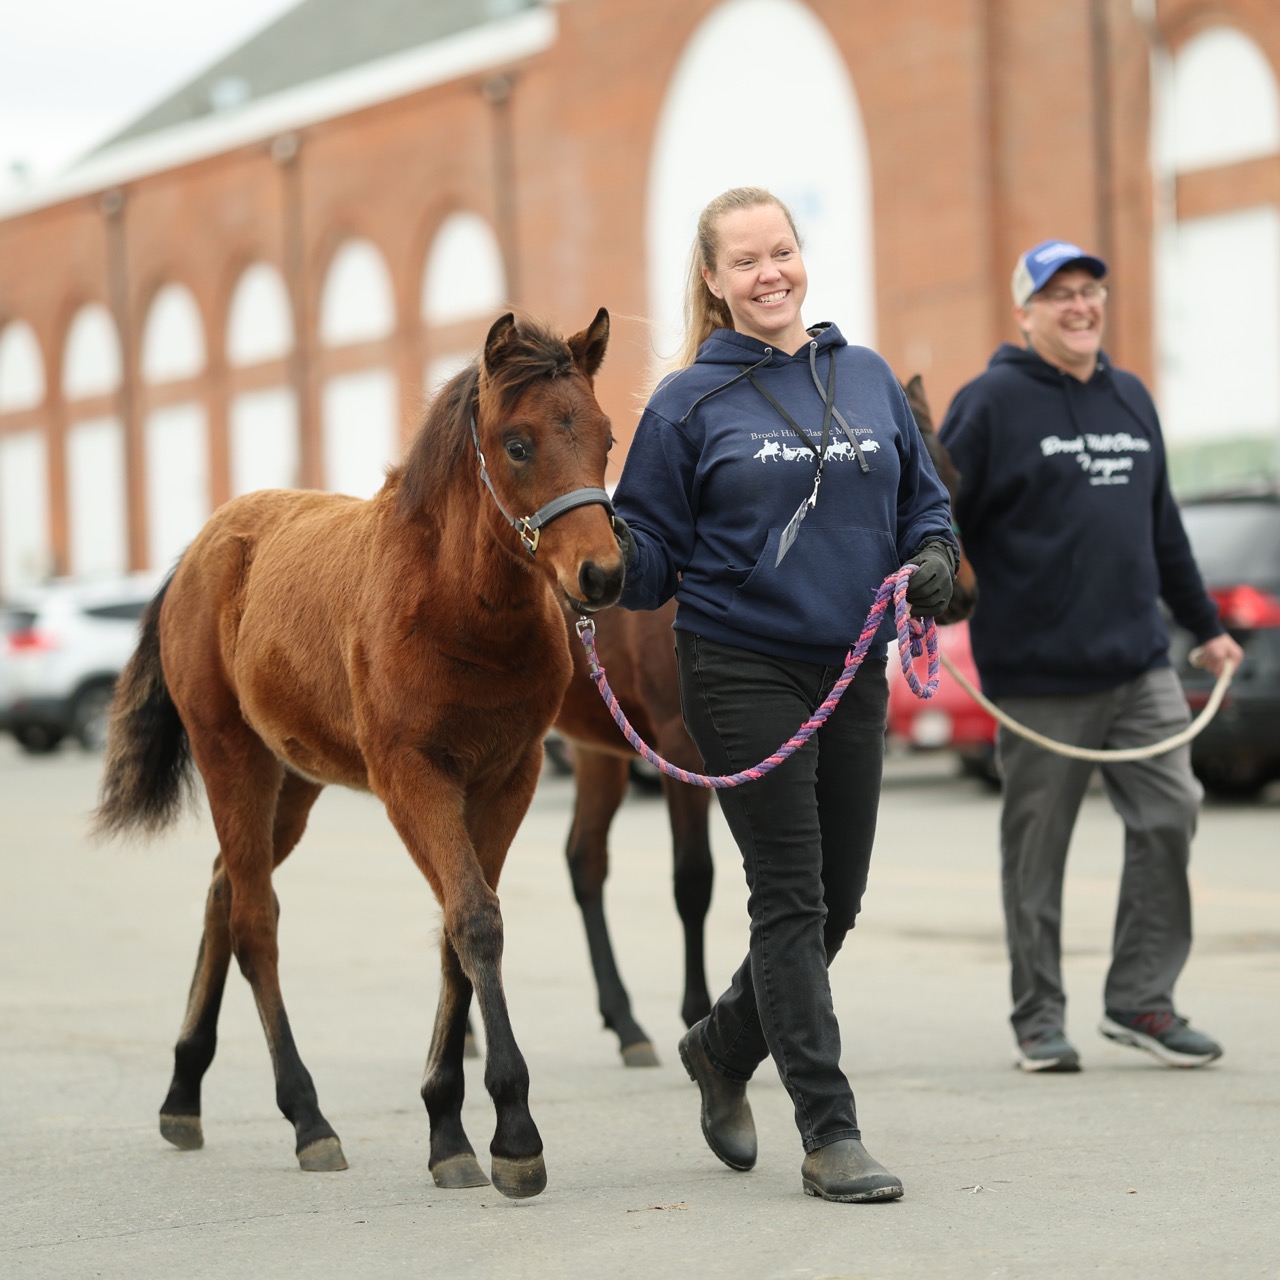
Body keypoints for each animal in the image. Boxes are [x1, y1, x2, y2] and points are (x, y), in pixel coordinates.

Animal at [92, 309, 625, 1200]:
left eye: (607, 437)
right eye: (517, 444)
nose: (604, 574)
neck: (459, 609)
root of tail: (202, 545)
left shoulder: (506, 777)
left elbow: (457, 928)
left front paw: (448, 1129)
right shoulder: (411, 776)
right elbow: (474, 919)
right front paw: (513, 1135)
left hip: (294, 778)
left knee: (222, 890)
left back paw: (182, 1094)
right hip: (231, 756)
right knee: (254, 920)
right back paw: (307, 1119)